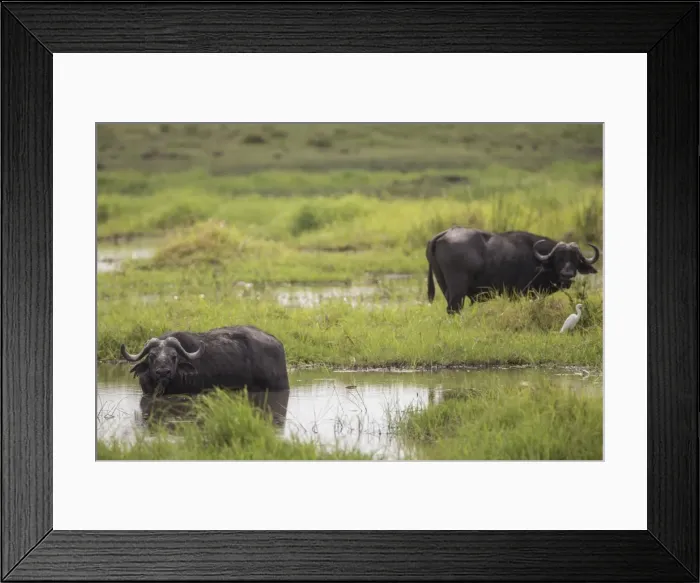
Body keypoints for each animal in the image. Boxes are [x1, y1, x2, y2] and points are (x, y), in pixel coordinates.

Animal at [426, 227, 600, 314]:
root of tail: (446, 232)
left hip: (444, 285)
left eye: (576, 259)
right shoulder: (520, 293)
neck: (538, 259)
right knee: (454, 308)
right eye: (559, 258)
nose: (567, 274)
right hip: (458, 289)